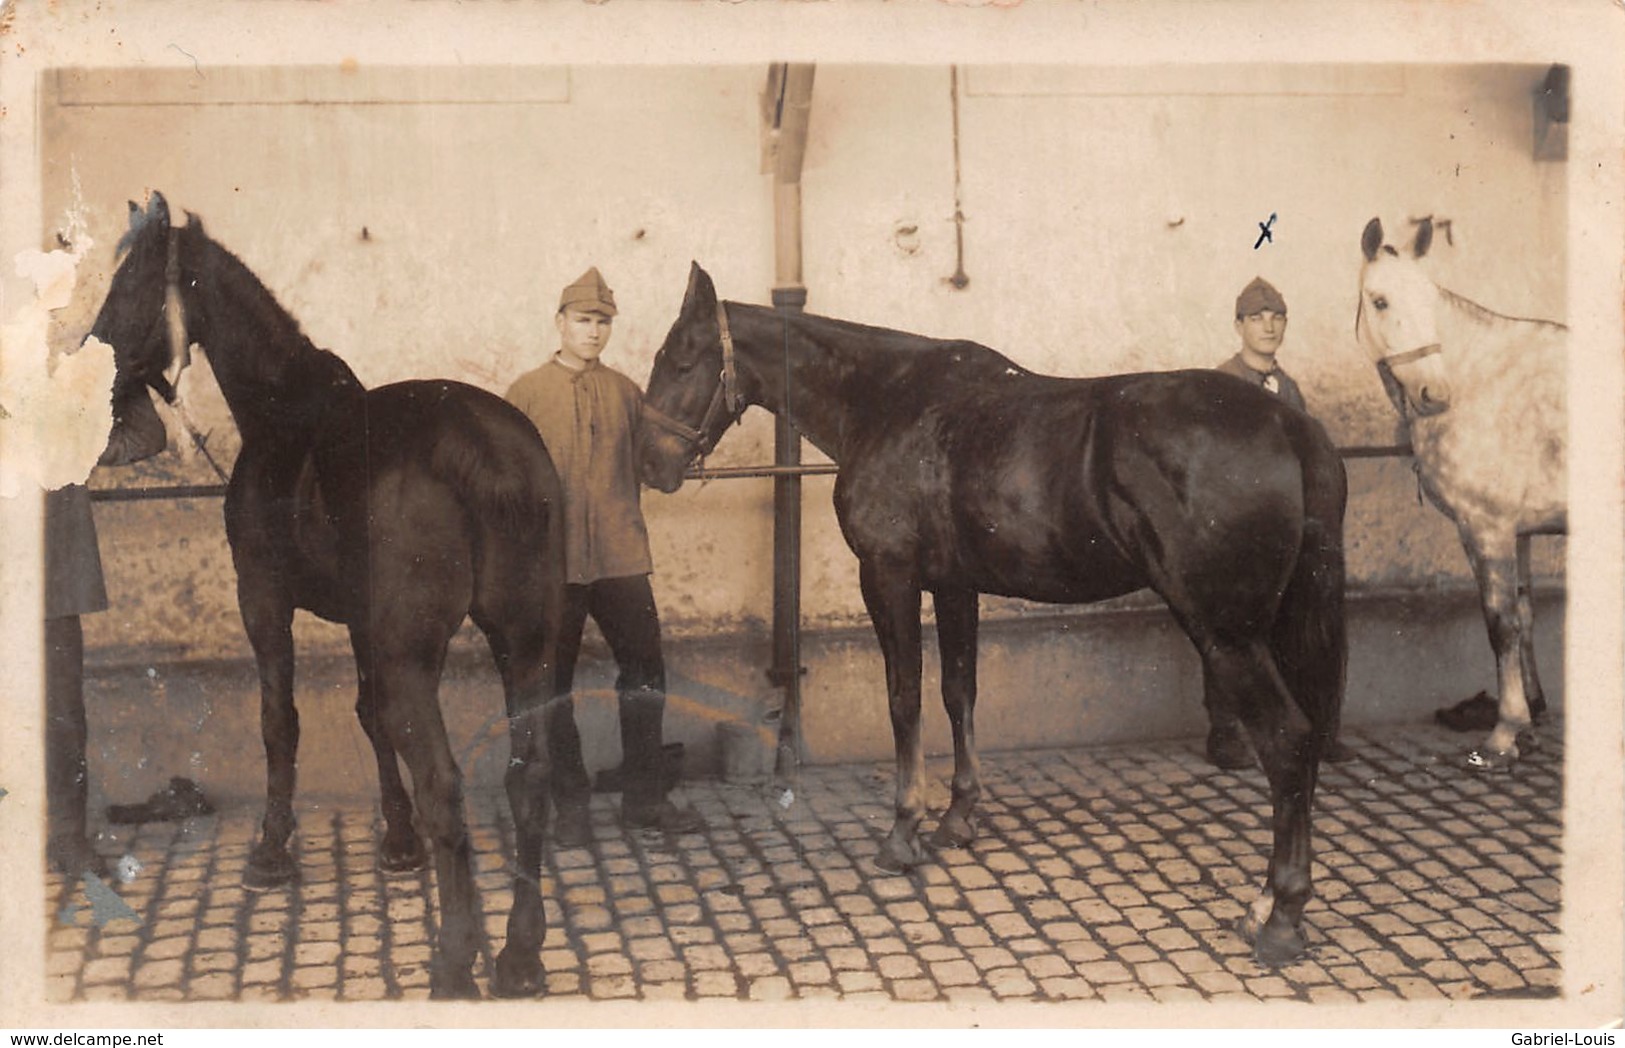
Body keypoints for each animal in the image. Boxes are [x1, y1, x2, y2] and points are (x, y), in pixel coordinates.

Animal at [95, 194, 568, 994]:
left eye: (128, 282)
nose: (92, 347)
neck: (282, 408)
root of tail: (487, 453)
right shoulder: (362, 623)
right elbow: (368, 717)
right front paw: (398, 841)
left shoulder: (262, 598)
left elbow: (279, 721)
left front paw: (271, 850)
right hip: (525, 640)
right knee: (528, 776)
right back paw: (519, 955)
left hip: (421, 653)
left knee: (445, 782)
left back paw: (454, 959)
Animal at [640, 263, 1352, 961]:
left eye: (681, 362)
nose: (651, 465)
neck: (887, 400)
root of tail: (1291, 427)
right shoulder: (955, 585)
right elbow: (959, 692)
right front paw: (958, 818)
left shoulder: (889, 575)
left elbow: (905, 698)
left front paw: (904, 831)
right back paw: (1268, 904)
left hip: (1228, 632)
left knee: (1288, 739)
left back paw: (1279, 916)